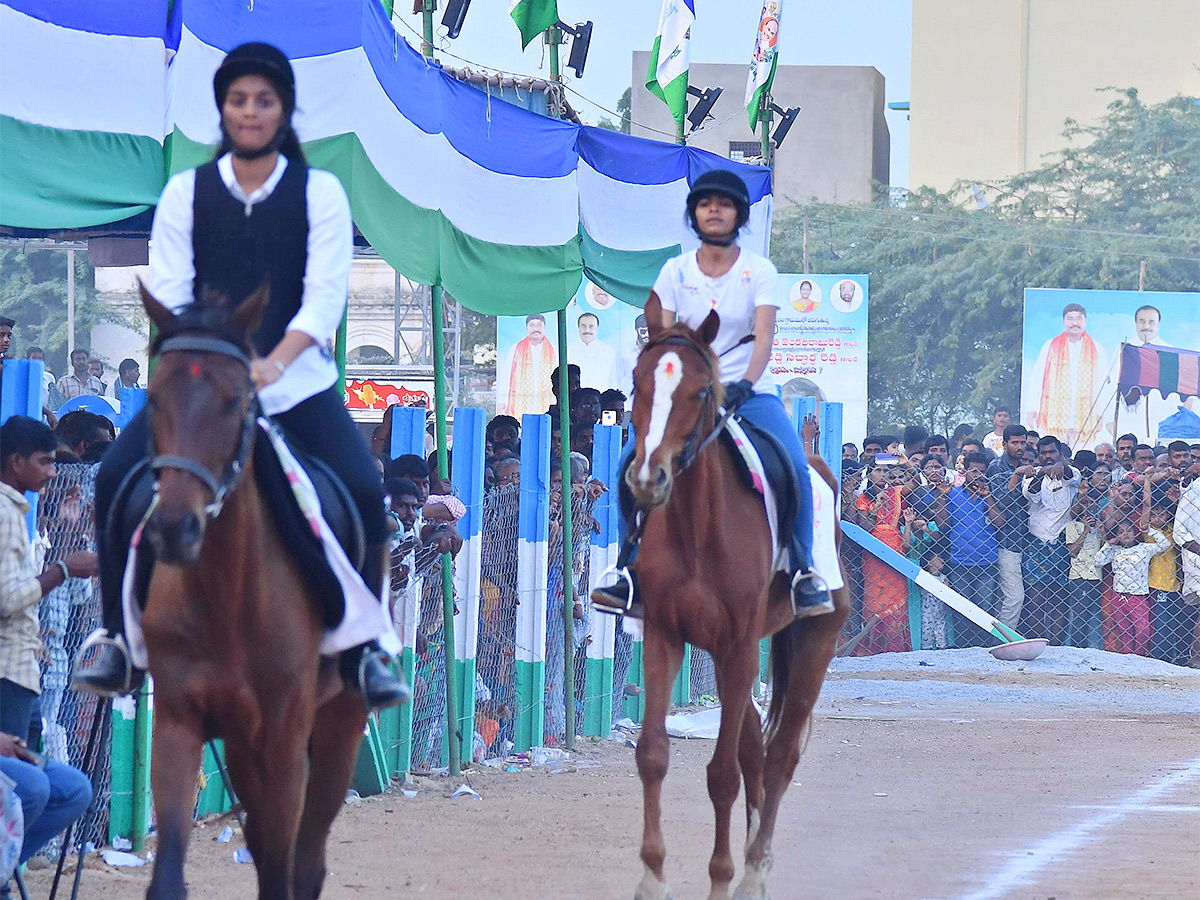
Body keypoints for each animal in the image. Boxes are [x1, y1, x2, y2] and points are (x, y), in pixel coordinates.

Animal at [133, 283, 362, 900]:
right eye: (154, 397)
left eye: (236, 400)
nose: (175, 529)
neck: (227, 599)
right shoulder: (178, 723)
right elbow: (169, 876)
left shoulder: (284, 741)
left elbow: (283, 872)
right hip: (239, 744)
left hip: (338, 726)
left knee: (304, 861)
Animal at [624, 309, 849, 900]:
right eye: (638, 384)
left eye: (701, 391)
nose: (648, 477)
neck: (698, 527)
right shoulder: (665, 635)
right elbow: (652, 755)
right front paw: (652, 876)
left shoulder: (741, 644)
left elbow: (722, 774)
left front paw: (722, 876)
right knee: (753, 748)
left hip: (811, 643)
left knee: (779, 756)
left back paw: (753, 867)